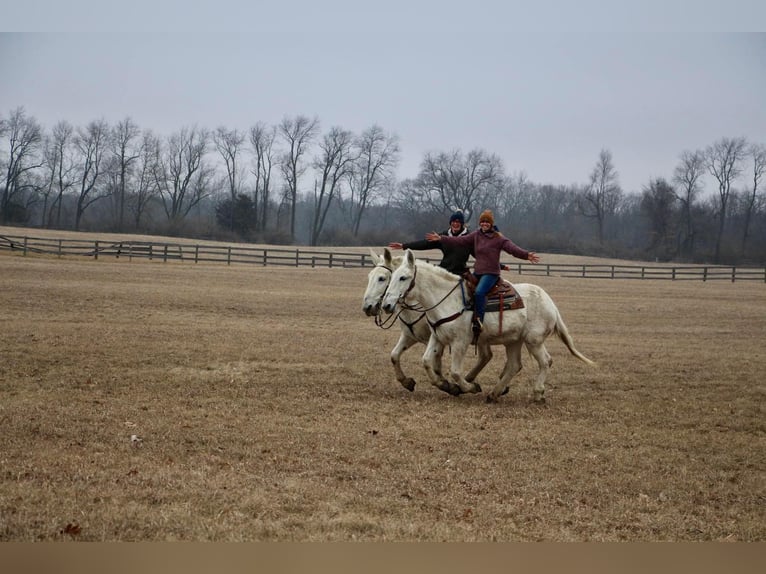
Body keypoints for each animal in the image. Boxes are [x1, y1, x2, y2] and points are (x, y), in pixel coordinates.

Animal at [364, 250, 496, 398]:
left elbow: (435, 363)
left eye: (382, 278)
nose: (367, 307)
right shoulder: (409, 336)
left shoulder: (437, 339)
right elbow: (394, 355)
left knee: (485, 355)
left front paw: (447, 385)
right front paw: (407, 382)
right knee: (486, 356)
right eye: (369, 277)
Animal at [380, 252, 596, 404]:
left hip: (533, 341)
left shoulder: (460, 342)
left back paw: (538, 393)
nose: (386, 305)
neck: (446, 299)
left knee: (545, 361)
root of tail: (550, 303)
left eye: (403, 277)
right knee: (514, 365)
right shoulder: (437, 337)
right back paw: (495, 393)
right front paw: (444, 385)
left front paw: (469, 387)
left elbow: (455, 371)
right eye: (391, 276)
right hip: (513, 341)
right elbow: (426, 361)